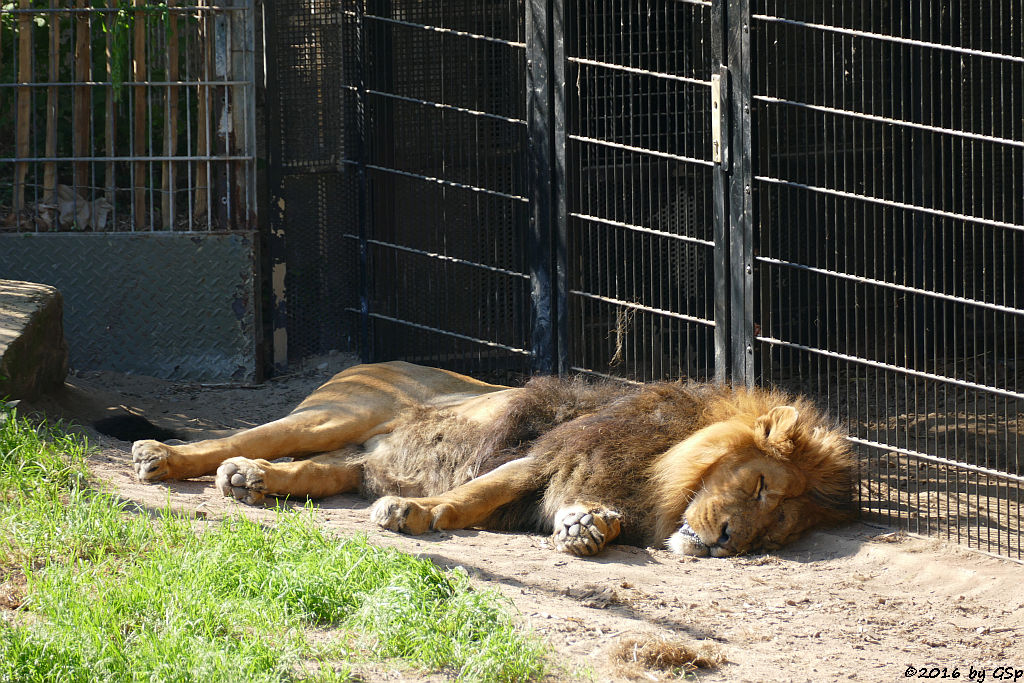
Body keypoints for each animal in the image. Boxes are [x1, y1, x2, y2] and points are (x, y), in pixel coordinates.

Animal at [132, 360, 860, 557]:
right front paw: (415, 514)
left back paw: (248, 482)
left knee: (311, 471)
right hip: (339, 411)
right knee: (243, 435)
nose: (729, 542)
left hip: (350, 456)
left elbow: (592, 518)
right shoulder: (544, 454)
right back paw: (160, 457)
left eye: (776, 532)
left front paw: (587, 530)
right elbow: (473, 494)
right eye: (760, 485)